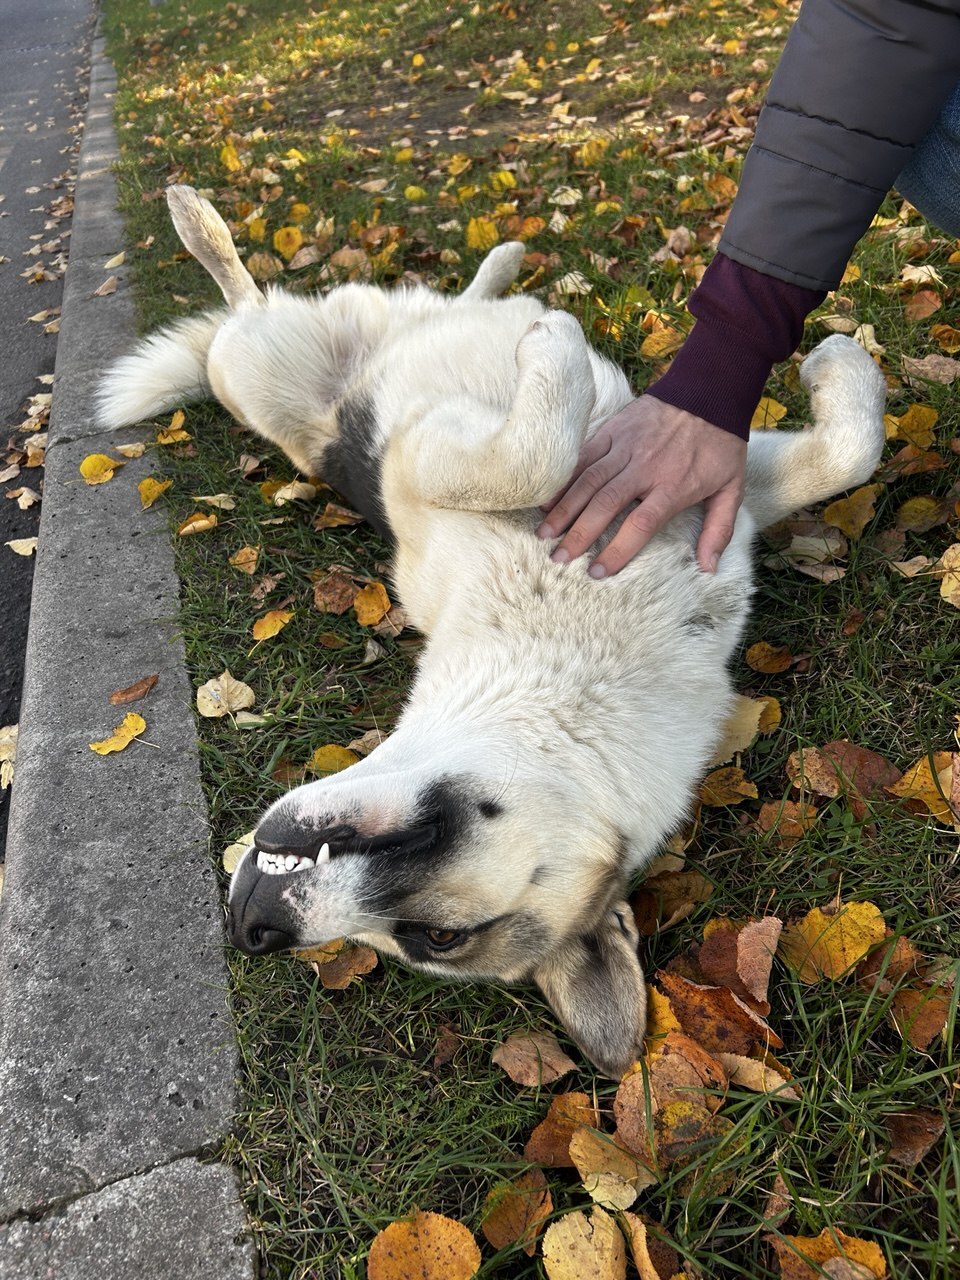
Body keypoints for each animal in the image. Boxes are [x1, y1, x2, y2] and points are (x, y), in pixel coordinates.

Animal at [99, 185, 885, 1075]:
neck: (575, 653)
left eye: (431, 938)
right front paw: (831, 361)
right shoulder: (661, 475)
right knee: (248, 298)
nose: (252, 929)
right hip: (259, 369)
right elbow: (547, 456)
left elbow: (843, 455)